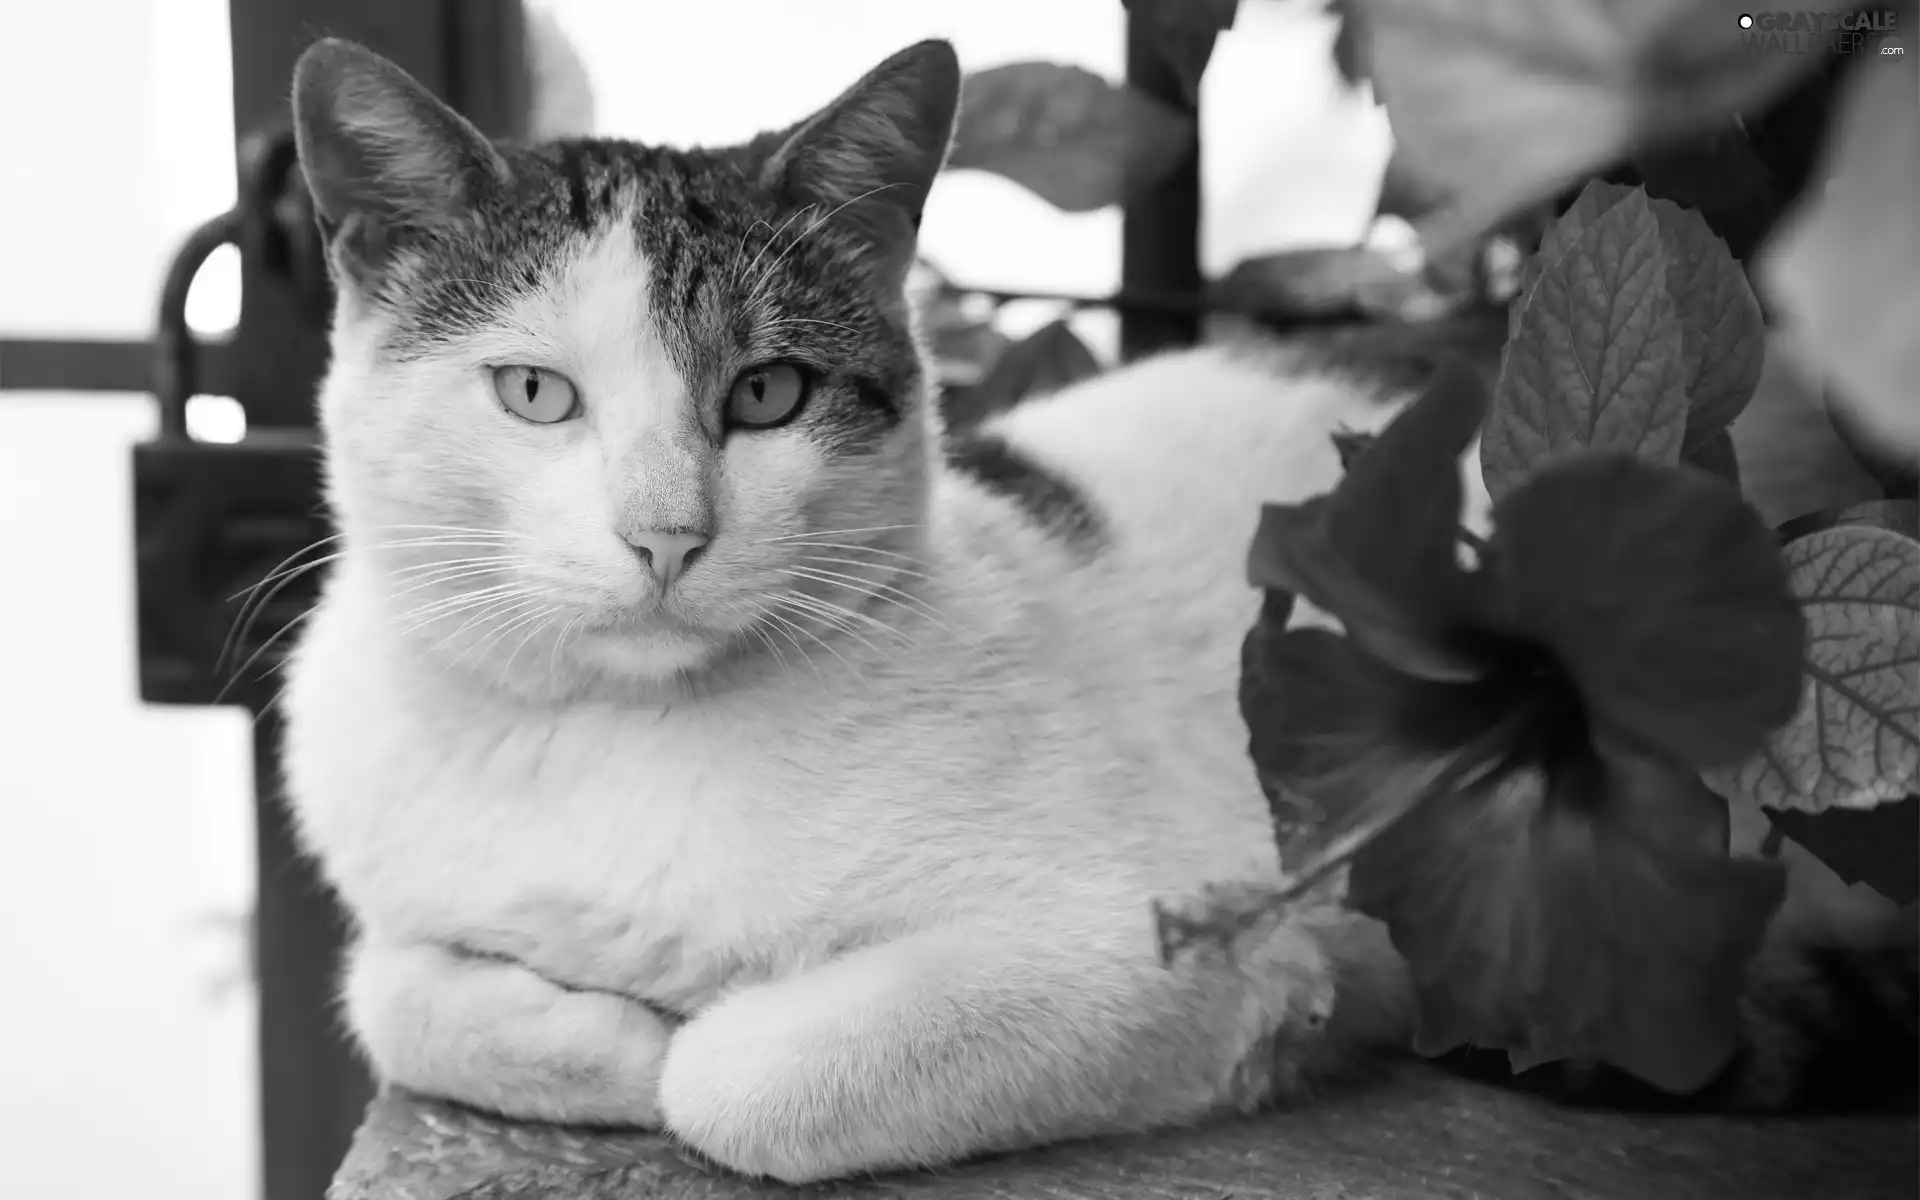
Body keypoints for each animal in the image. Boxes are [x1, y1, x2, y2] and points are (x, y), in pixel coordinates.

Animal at [278, 32, 1912, 1182]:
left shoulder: (1214, 947)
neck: (621, 737)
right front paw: (603, 1029)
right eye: (534, 395)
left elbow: (739, 1084)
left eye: (768, 396)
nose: (665, 535)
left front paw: (681, 1038)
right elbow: (385, 986)